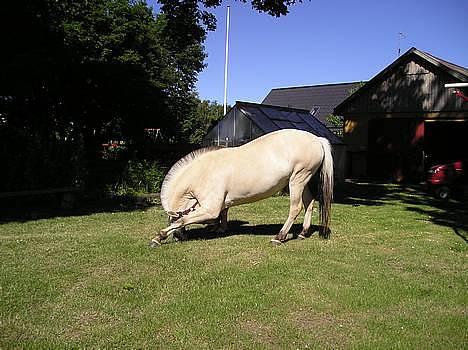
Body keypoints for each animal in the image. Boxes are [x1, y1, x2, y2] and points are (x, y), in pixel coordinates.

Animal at [150, 129, 332, 246]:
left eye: (170, 217)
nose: (179, 237)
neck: (203, 172)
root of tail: (317, 139)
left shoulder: (210, 209)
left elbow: (185, 219)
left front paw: (158, 237)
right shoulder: (220, 204)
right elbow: (224, 213)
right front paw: (220, 229)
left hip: (297, 179)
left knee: (296, 207)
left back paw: (279, 237)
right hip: (302, 180)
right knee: (309, 203)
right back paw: (303, 233)